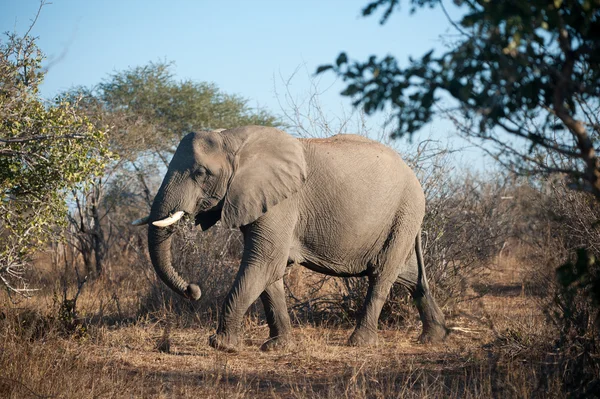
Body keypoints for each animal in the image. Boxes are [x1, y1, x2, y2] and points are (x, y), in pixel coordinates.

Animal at [134, 126, 448, 352]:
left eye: (201, 173)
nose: (193, 290)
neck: (233, 139)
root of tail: (415, 176)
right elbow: (271, 272)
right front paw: (277, 347)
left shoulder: (283, 202)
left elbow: (265, 262)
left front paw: (221, 345)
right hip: (402, 219)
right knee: (409, 275)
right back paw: (435, 337)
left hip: (404, 213)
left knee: (382, 274)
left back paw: (360, 343)